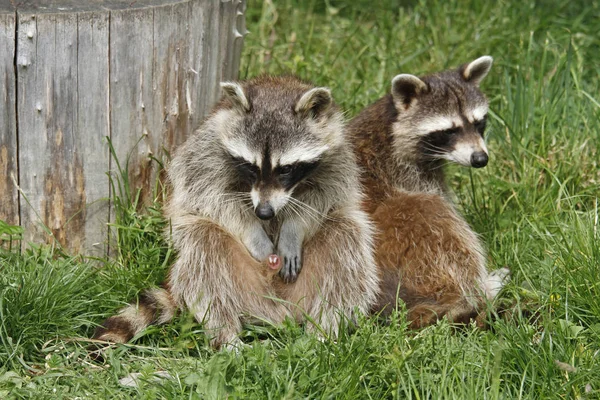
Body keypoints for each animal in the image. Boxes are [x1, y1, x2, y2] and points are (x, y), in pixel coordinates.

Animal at [92, 76, 380, 350]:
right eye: (250, 166)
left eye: (286, 169)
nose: (264, 212)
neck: (275, 89)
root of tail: (279, 311)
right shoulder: (207, 147)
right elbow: (208, 193)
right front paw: (253, 232)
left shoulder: (338, 154)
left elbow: (326, 195)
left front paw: (292, 230)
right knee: (203, 252)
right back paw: (226, 335)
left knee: (346, 240)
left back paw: (324, 329)